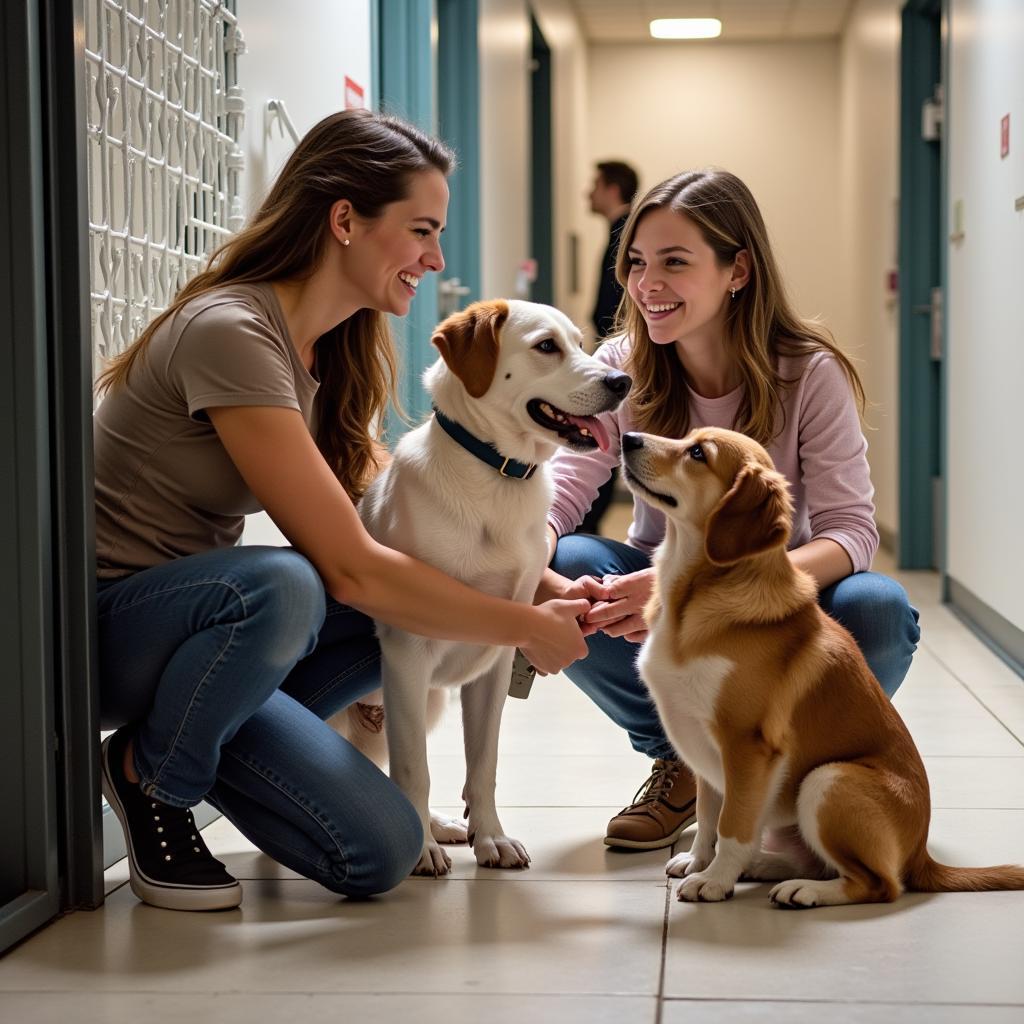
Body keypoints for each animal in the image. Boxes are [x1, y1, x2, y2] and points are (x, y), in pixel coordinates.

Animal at [352, 299, 626, 876]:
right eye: (546, 346)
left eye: (581, 342)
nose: (622, 380)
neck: (498, 476)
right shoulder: (408, 654)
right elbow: (414, 767)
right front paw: (422, 853)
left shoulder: (496, 658)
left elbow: (483, 764)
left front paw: (491, 837)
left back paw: (441, 825)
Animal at [622, 428, 1024, 909]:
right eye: (685, 437)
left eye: (698, 453)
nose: (627, 437)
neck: (693, 598)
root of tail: (921, 856)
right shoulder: (704, 752)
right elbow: (707, 812)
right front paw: (700, 862)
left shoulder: (746, 744)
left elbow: (732, 825)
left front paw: (714, 880)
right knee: (815, 861)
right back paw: (764, 868)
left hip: (828, 779)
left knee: (878, 884)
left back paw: (802, 891)